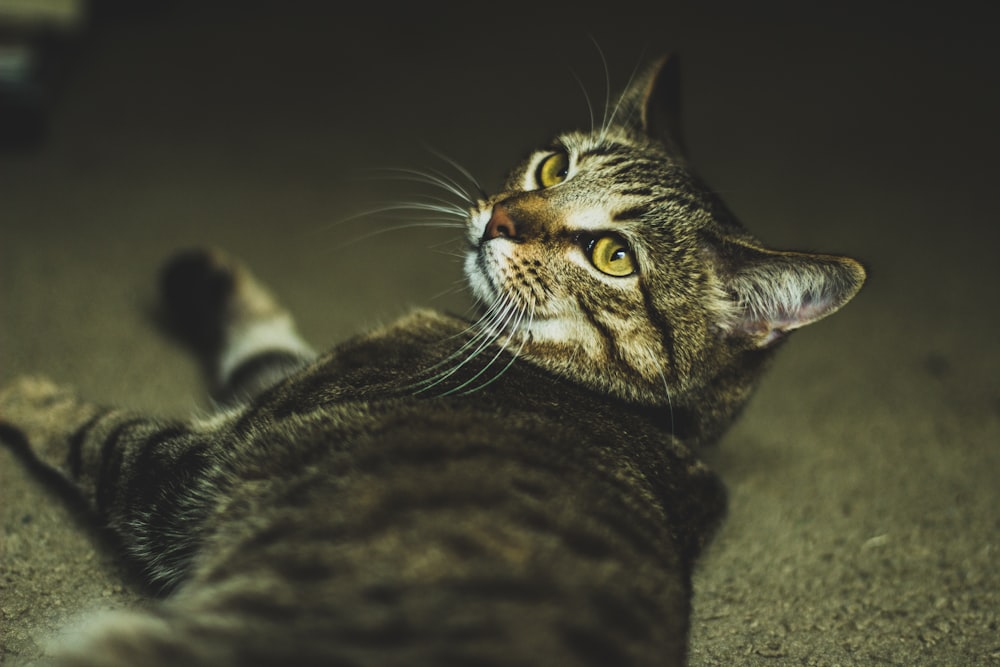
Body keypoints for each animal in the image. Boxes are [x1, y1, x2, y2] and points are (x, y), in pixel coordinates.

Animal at [0, 54, 868, 664]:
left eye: (614, 255)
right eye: (553, 166)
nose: (503, 218)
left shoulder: (188, 468)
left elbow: (93, 426)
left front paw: (19, 387)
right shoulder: (285, 380)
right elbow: (262, 334)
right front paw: (197, 272)